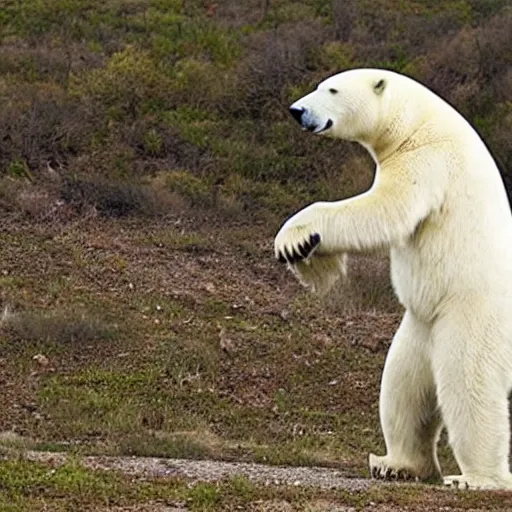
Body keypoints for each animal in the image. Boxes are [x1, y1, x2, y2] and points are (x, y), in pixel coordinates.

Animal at [276, 67, 512, 488]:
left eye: (331, 89)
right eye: (320, 86)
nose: (297, 110)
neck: (416, 120)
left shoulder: (427, 161)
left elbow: (387, 208)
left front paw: (293, 236)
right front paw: (307, 255)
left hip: (472, 315)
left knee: (470, 389)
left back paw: (476, 479)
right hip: (420, 328)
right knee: (403, 386)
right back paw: (396, 463)